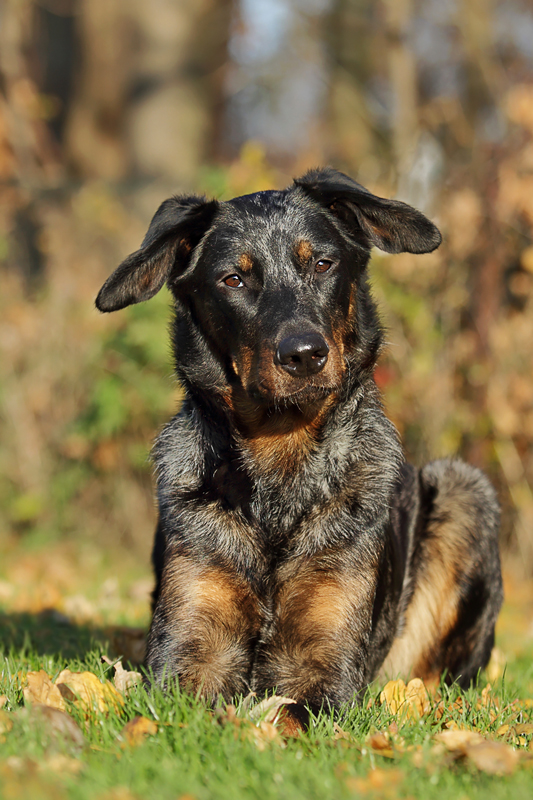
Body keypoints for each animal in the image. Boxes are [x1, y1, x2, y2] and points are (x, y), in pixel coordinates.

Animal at [96, 169, 502, 720]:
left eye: (323, 264)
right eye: (234, 279)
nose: (305, 354)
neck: (280, 462)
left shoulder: (323, 662)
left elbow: (286, 716)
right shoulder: (188, 649)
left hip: (466, 490)